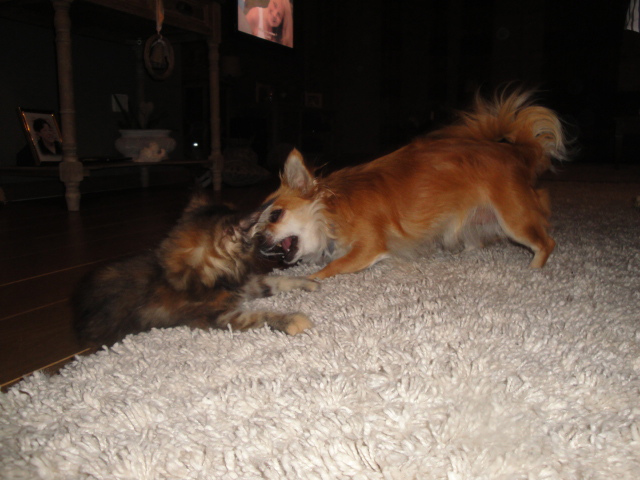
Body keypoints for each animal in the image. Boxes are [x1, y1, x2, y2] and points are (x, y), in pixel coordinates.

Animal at [72, 192, 318, 347]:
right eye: (254, 238)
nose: (264, 246)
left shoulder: (242, 285)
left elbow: (277, 281)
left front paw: (308, 281)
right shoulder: (215, 316)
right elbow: (260, 315)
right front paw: (293, 320)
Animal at [258, 89, 570, 279]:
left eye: (276, 215)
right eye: (255, 229)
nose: (258, 241)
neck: (330, 212)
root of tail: (517, 152)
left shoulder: (369, 247)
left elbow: (332, 266)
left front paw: (306, 281)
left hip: (514, 219)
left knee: (547, 242)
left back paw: (534, 269)